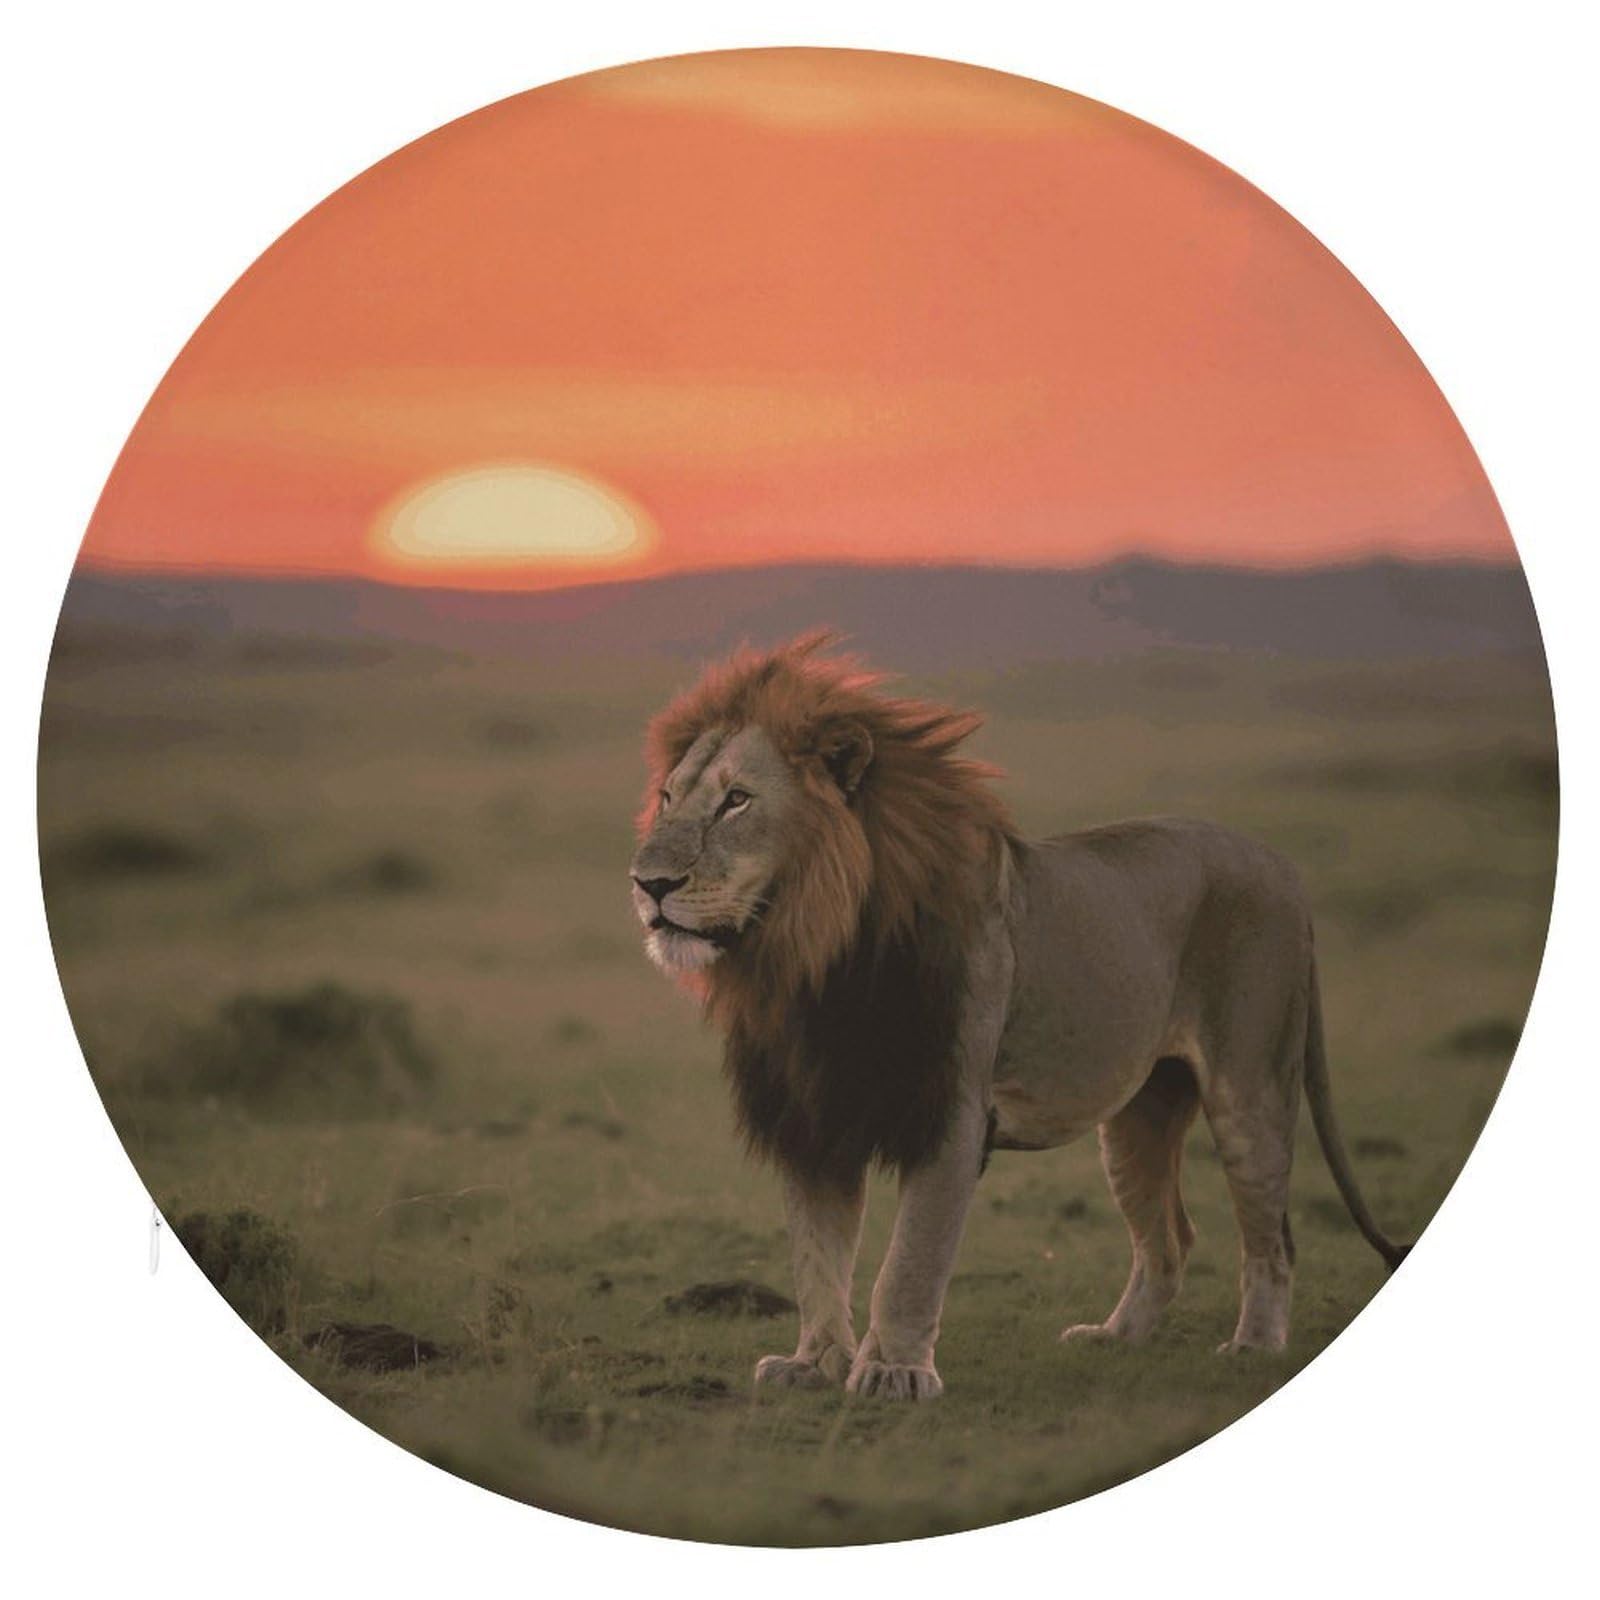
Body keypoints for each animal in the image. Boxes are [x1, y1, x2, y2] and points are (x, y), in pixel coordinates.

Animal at [629, 633, 1409, 1401]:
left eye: (736, 801)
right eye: (667, 796)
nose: (648, 883)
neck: (815, 959)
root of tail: (1284, 868)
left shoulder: (951, 1111)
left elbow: (910, 1259)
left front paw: (893, 1371)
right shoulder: (815, 1115)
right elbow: (818, 1258)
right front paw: (815, 1364)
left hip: (1250, 1088)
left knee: (1273, 1238)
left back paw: (1253, 1346)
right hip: (1139, 1114)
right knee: (1169, 1238)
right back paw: (1114, 1337)